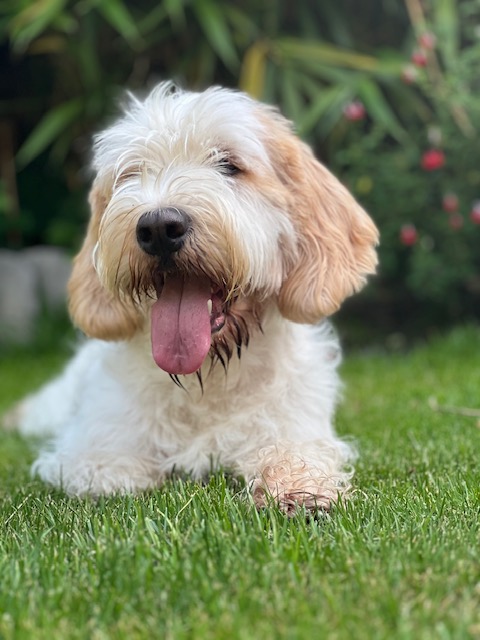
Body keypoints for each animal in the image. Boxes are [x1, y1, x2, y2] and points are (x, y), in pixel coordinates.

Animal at [4, 83, 378, 513]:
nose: (159, 227)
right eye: (130, 172)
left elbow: (293, 452)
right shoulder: (92, 444)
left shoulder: (296, 427)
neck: (207, 378)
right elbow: (107, 469)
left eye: (229, 165)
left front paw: (298, 487)